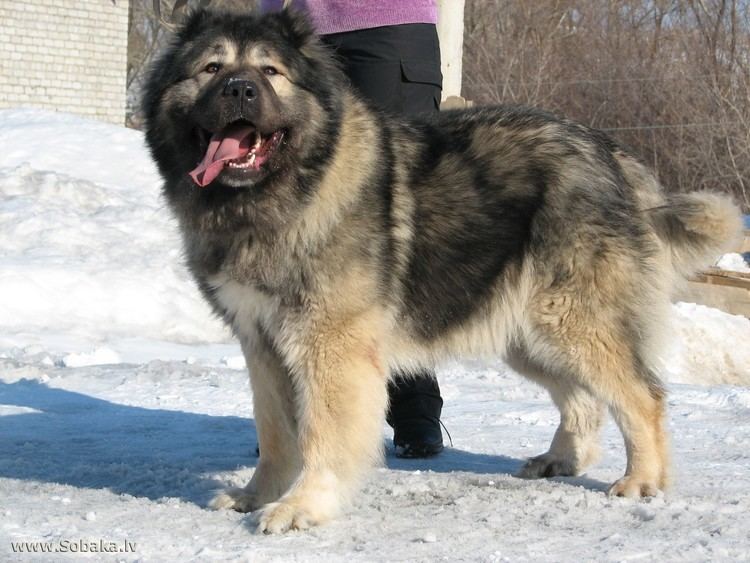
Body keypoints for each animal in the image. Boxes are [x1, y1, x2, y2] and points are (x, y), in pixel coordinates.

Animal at [142, 9, 748, 536]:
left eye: (270, 72)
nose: (240, 91)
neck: (280, 193)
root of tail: (609, 152)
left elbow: (322, 434)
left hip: (569, 319)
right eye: (211, 69)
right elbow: (274, 433)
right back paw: (561, 460)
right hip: (525, 331)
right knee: (583, 398)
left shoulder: (328, 346)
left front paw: (303, 506)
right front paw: (259, 493)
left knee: (643, 396)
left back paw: (641, 480)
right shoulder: (262, 342)